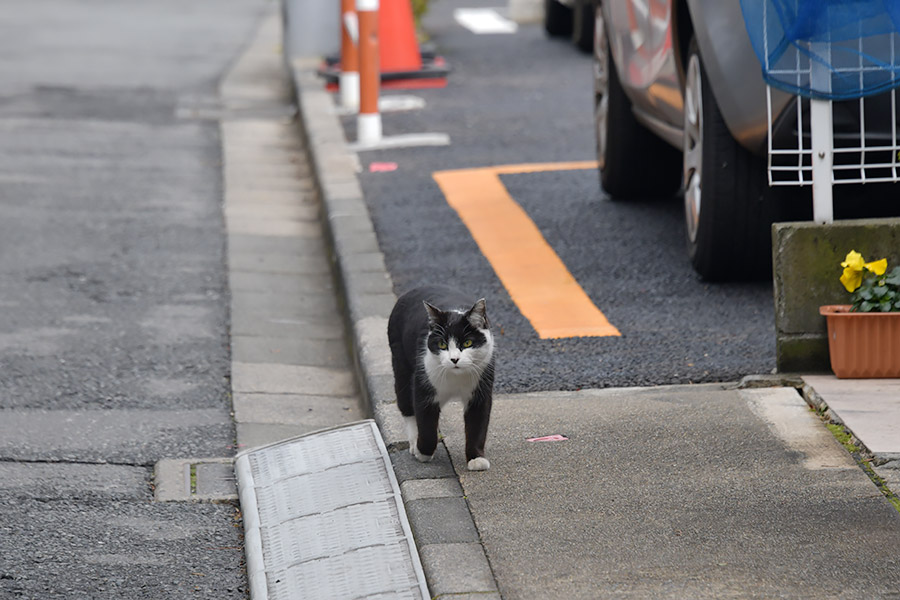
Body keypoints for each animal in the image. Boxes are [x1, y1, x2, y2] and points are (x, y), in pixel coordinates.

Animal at [386, 286, 496, 474]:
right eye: (442, 345)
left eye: (467, 343)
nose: (454, 359)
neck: (456, 378)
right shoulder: (424, 386)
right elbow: (426, 423)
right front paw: (423, 452)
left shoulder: (481, 390)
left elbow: (477, 424)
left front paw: (476, 459)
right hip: (400, 362)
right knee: (407, 406)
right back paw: (414, 442)